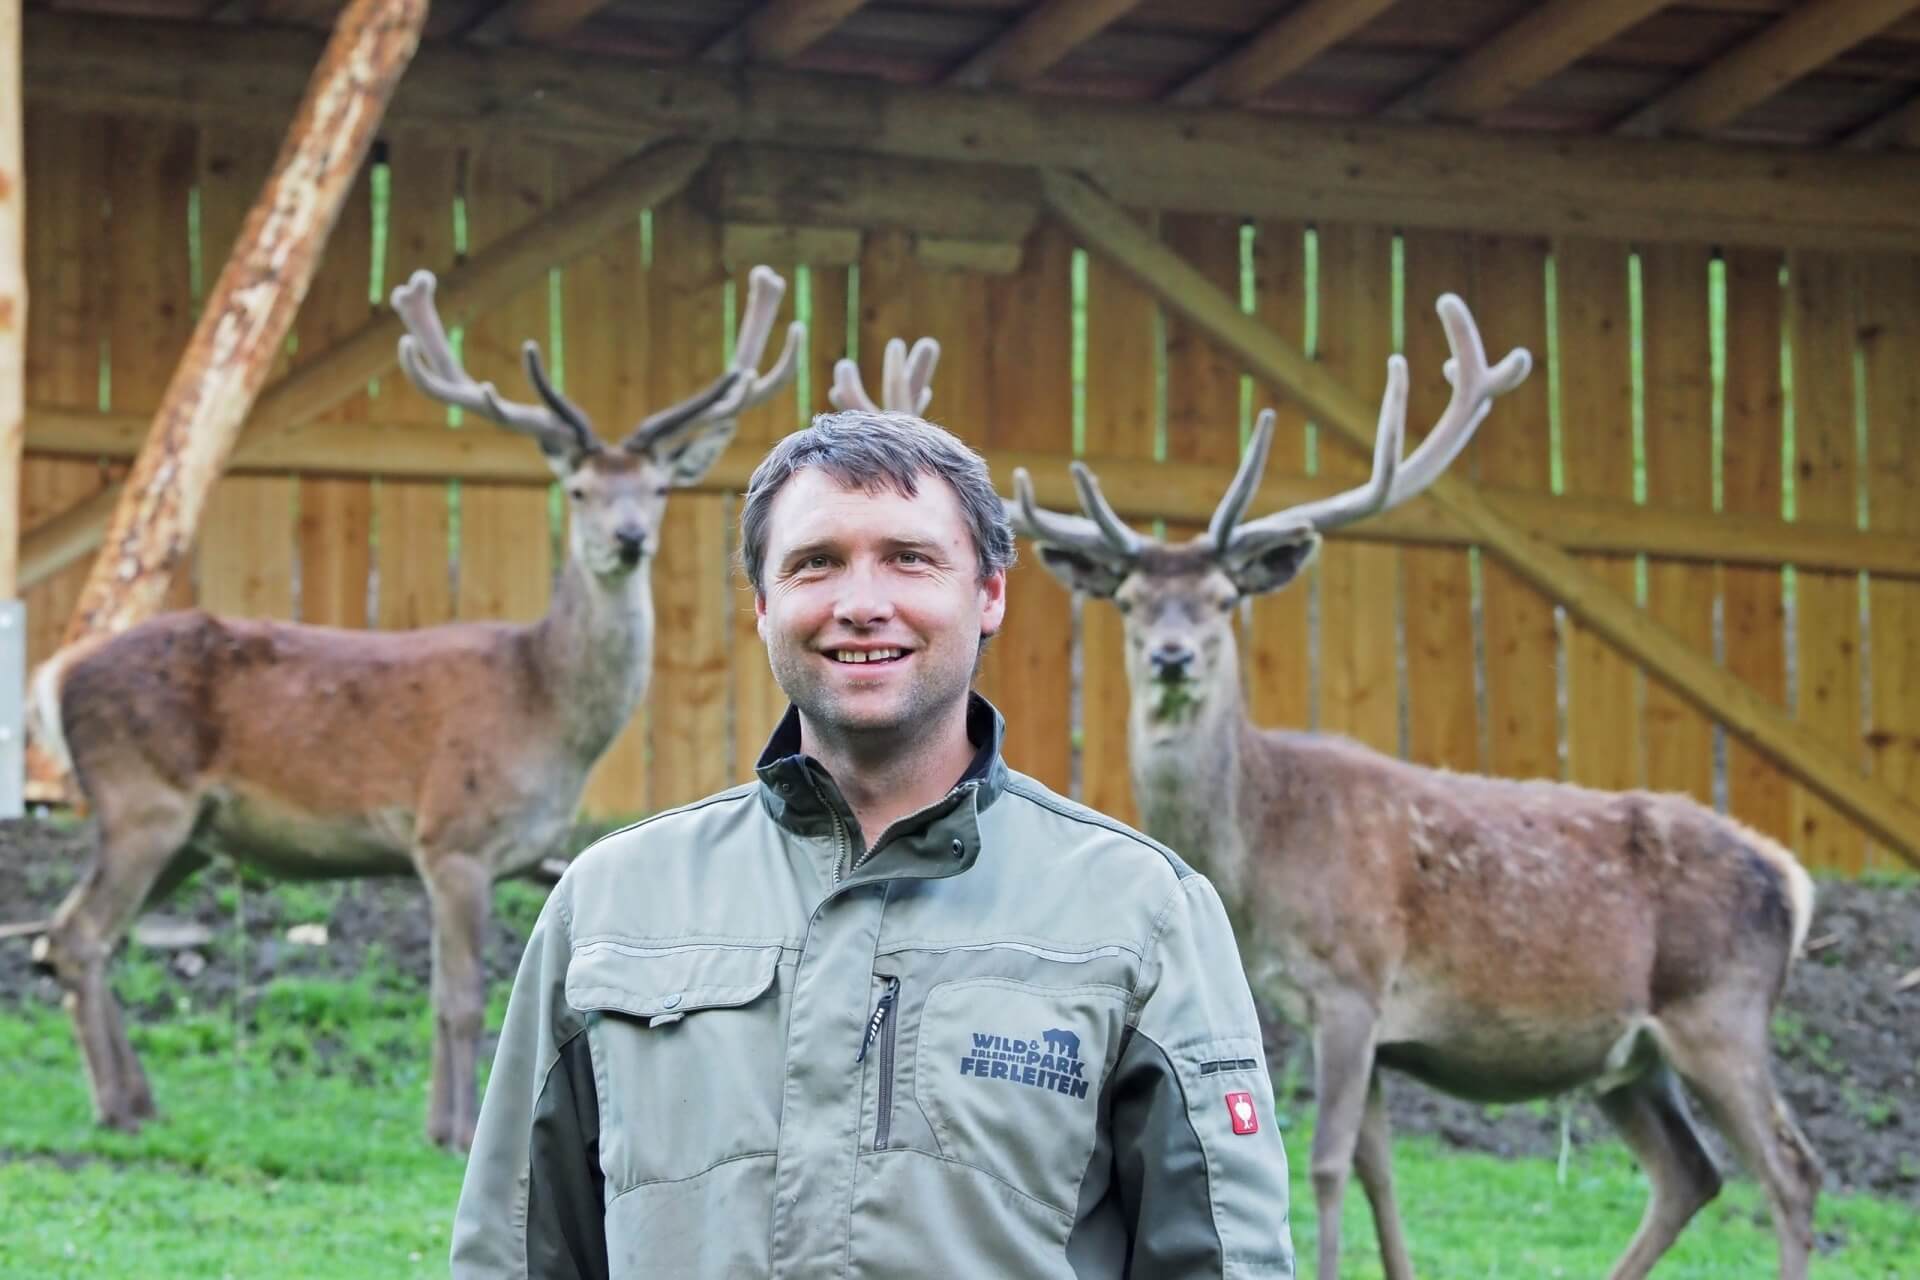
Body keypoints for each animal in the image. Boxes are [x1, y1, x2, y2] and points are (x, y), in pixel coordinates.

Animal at [1013, 295, 1820, 1280]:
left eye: (1224, 599)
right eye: (1128, 602)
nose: (1172, 658)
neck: (1259, 862)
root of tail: (1792, 880)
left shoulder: (1352, 984)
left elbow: (1323, 1165)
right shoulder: (1355, 1022)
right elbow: (1376, 1169)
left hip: (1721, 1010)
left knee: (1789, 1172)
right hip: (1630, 1055)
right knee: (1691, 1171)